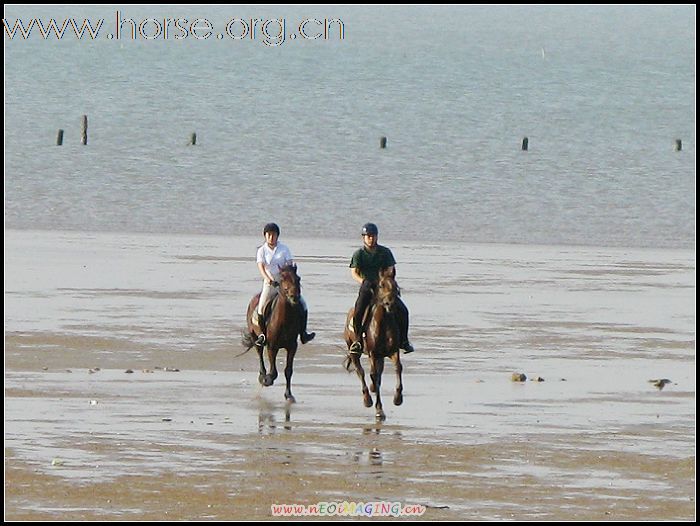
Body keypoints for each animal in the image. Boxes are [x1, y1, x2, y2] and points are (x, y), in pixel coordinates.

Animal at [242, 264, 302, 404]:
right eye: (282, 279)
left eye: (298, 278)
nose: (294, 297)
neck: (285, 319)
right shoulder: (272, 346)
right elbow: (273, 372)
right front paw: (267, 380)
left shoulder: (292, 347)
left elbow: (288, 371)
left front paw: (289, 395)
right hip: (256, 337)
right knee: (259, 353)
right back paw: (262, 376)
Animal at [344, 268, 404, 420]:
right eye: (381, 285)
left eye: (395, 285)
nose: (390, 303)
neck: (382, 323)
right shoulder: (373, 353)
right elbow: (373, 375)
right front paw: (379, 409)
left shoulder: (393, 351)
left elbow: (398, 368)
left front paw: (398, 398)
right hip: (354, 351)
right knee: (360, 372)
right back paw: (367, 399)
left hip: (380, 356)